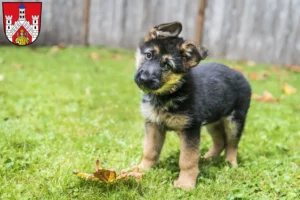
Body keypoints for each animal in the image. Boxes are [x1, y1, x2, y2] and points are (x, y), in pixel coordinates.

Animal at [134, 21, 251, 189]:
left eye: (167, 65)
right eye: (149, 55)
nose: (143, 79)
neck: (169, 93)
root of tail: (242, 76)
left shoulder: (190, 129)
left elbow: (187, 160)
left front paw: (185, 184)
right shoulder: (153, 125)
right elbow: (150, 151)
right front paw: (141, 170)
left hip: (235, 121)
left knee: (232, 144)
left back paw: (230, 164)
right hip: (214, 121)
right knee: (220, 141)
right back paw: (208, 158)